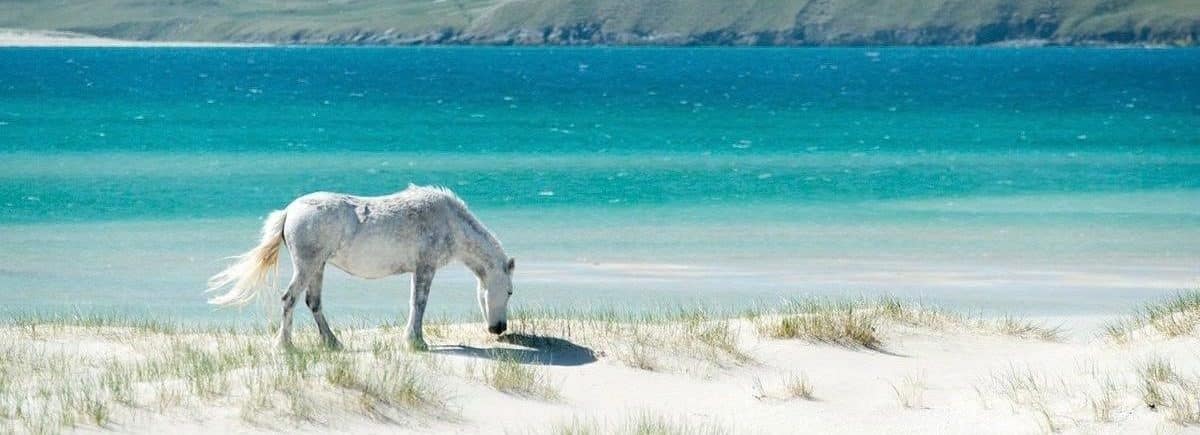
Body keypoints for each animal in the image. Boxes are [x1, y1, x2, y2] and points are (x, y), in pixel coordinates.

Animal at [206, 185, 515, 351]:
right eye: (510, 292)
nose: (499, 329)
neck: (450, 221)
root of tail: (289, 211)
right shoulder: (425, 268)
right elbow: (419, 304)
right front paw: (416, 341)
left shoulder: (419, 270)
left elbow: (416, 304)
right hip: (306, 266)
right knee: (289, 299)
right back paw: (286, 345)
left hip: (317, 267)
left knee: (313, 303)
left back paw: (332, 342)